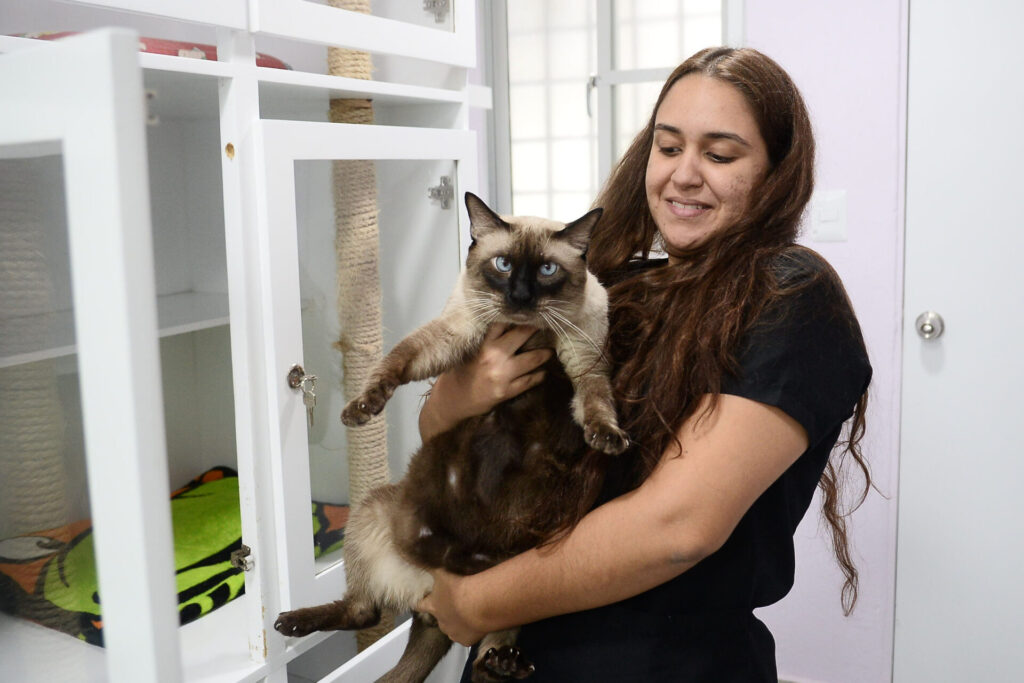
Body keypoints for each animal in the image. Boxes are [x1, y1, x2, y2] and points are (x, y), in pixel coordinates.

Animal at [274, 193, 622, 683]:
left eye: (547, 270)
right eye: (502, 264)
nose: (519, 296)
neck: (526, 330)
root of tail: (427, 599)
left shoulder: (583, 358)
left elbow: (596, 399)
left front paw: (607, 436)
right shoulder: (455, 334)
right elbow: (396, 359)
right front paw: (361, 410)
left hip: (518, 584)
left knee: (472, 652)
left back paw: (503, 660)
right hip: (373, 512)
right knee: (364, 611)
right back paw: (290, 621)